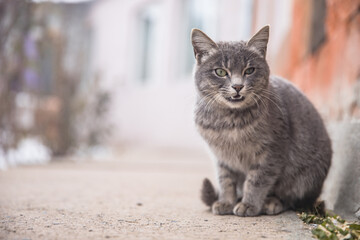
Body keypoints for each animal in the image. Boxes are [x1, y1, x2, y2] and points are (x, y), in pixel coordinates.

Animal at [191, 25, 332, 217]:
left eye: (249, 70)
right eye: (220, 72)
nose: (237, 86)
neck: (230, 121)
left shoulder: (271, 152)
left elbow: (257, 180)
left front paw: (248, 204)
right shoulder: (221, 157)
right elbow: (225, 180)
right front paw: (226, 202)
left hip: (306, 177)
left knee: (293, 198)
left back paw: (273, 202)